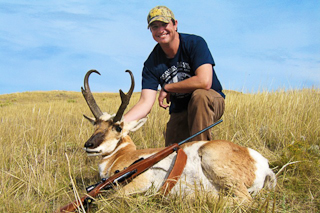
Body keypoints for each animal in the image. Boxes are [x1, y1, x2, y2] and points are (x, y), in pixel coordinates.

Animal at [81, 70, 276, 201]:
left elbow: (113, 197)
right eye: (95, 124)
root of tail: (262, 163)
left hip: (212, 159)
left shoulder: (137, 183)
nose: (89, 145)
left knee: (244, 201)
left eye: (118, 127)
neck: (123, 154)